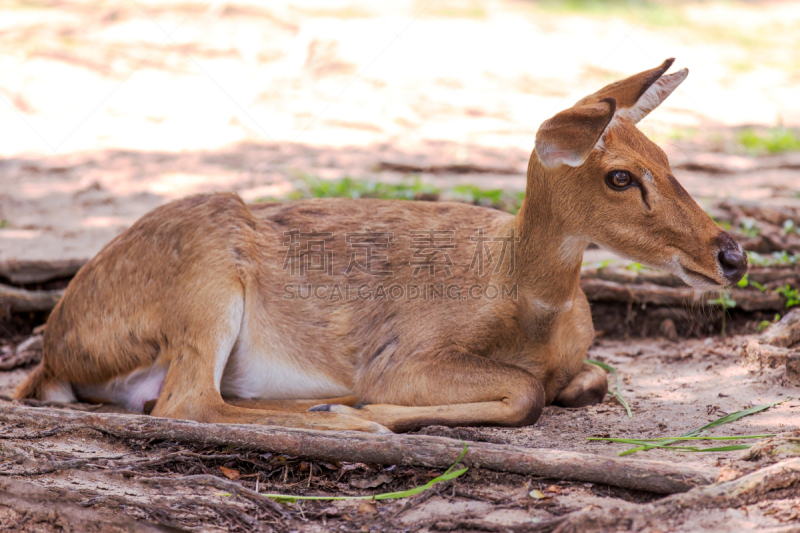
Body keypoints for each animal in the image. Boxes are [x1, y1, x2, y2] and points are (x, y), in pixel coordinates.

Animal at [15, 59, 748, 432]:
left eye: (667, 157)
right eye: (620, 175)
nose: (732, 255)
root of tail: (55, 352)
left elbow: (586, 381)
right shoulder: (406, 355)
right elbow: (524, 394)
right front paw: (372, 406)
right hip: (205, 279)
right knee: (187, 400)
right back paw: (344, 413)